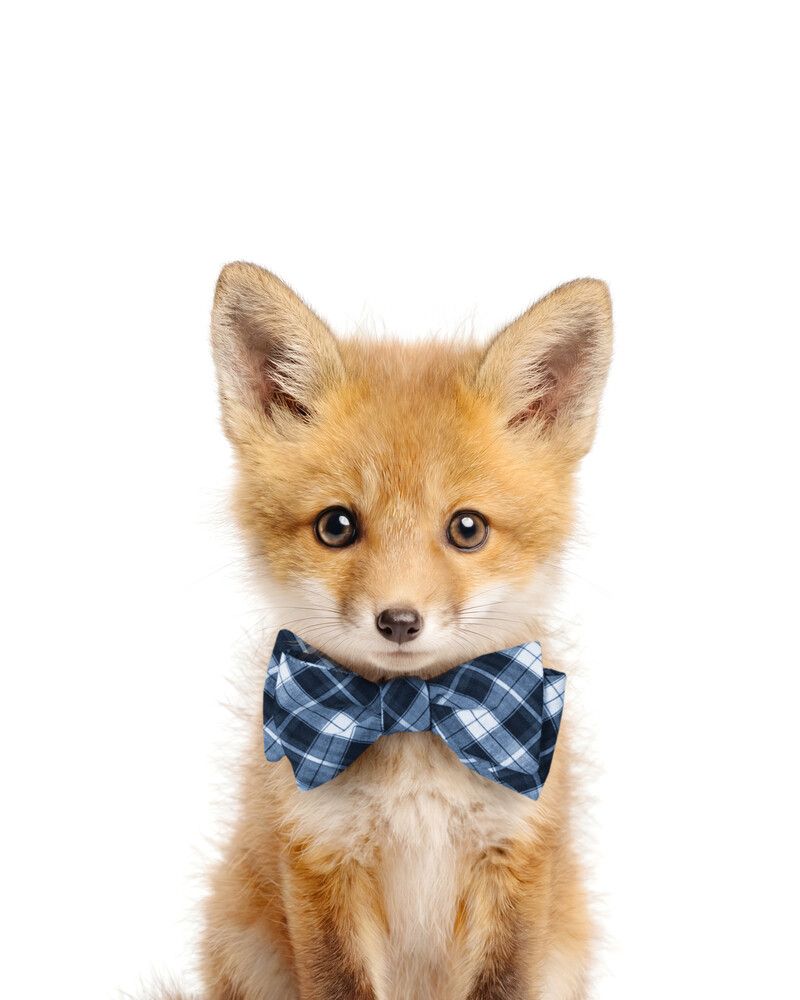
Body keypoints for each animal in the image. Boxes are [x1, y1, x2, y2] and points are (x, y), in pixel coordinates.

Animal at [154, 262, 612, 1000]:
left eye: (467, 528)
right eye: (336, 526)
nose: (399, 620)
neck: (410, 719)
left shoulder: (515, 861)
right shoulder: (321, 858)